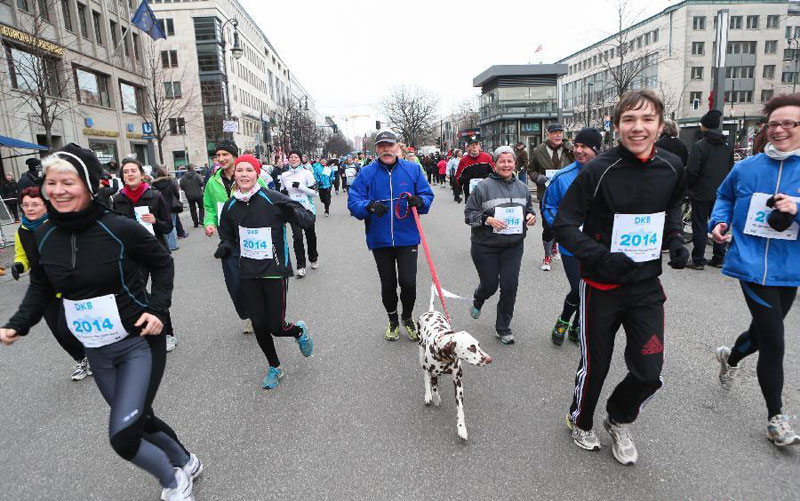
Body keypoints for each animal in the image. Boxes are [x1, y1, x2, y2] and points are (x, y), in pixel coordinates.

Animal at [418, 308, 494, 438]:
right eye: (471, 347)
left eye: (478, 345)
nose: (489, 359)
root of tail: (431, 311)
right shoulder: (433, 374)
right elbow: (435, 389)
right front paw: (436, 399)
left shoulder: (458, 382)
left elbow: (460, 409)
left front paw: (461, 428)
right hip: (421, 356)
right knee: (425, 376)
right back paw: (428, 395)